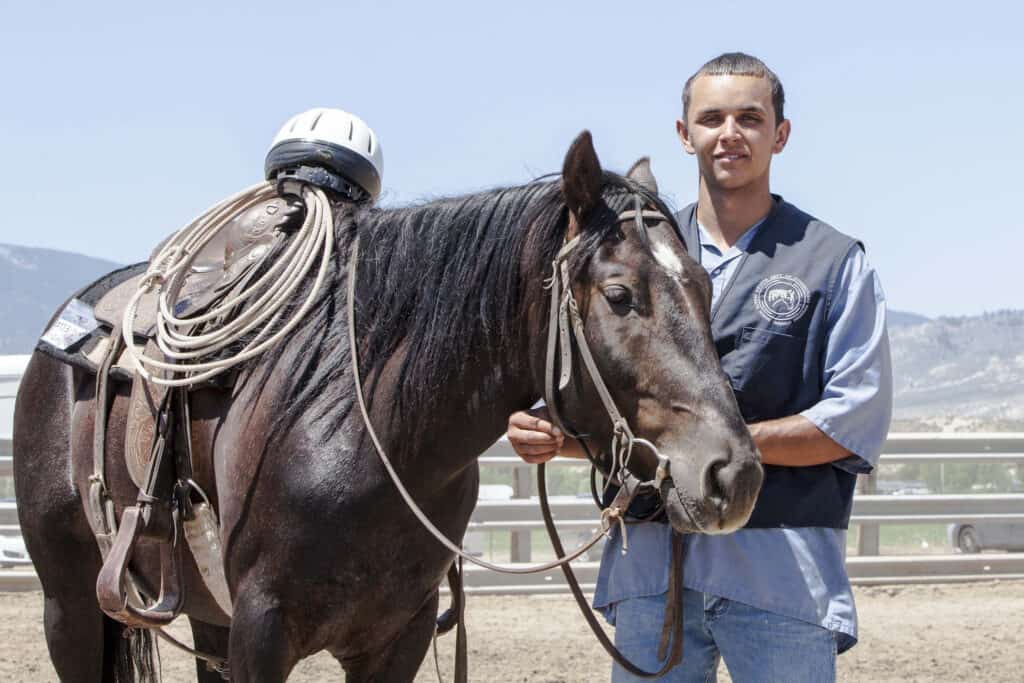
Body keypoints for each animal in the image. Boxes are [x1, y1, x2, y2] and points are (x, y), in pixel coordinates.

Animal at [13, 131, 763, 682]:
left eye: (703, 284)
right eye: (619, 294)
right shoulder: (260, 630)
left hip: (205, 618)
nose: (733, 475)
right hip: (70, 604)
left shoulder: (396, 634)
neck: (362, 425)